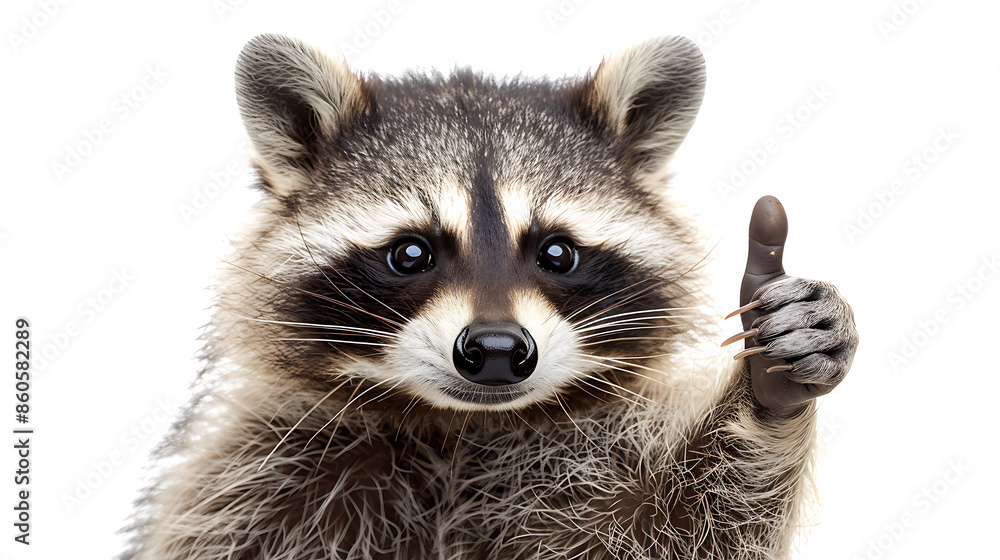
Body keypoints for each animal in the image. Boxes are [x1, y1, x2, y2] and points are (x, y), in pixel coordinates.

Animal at [121, 34, 858, 559]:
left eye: (557, 253)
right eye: (410, 253)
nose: (498, 348)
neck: (459, 427)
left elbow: (680, 520)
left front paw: (768, 393)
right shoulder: (253, 476)